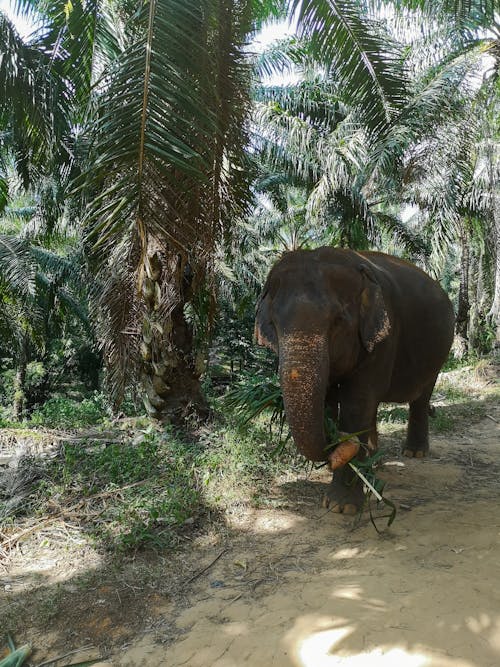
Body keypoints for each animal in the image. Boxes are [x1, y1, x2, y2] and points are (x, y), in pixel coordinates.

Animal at [256, 248, 456, 516]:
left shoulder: (384, 336)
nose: (337, 444)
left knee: (420, 397)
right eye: (274, 324)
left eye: (338, 321)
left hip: (437, 355)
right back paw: (375, 460)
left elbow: (356, 403)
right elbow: (330, 401)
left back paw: (413, 452)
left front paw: (342, 507)